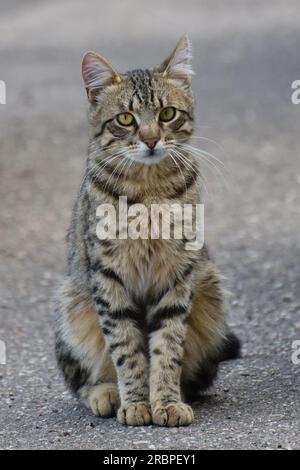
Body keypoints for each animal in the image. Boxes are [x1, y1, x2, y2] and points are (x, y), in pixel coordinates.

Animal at [55, 35, 240, 428]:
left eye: (167, 114)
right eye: (125, 119)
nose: (152, 139)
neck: (149, 189)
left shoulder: (177, 274)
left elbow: (167, 347)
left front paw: (165, 401)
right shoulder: (108, 278)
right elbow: (127, 349)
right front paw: (136, 402)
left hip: (211, 294)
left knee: (195, 377)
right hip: (72, 303)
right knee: (80, 380)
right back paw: (106, 393)